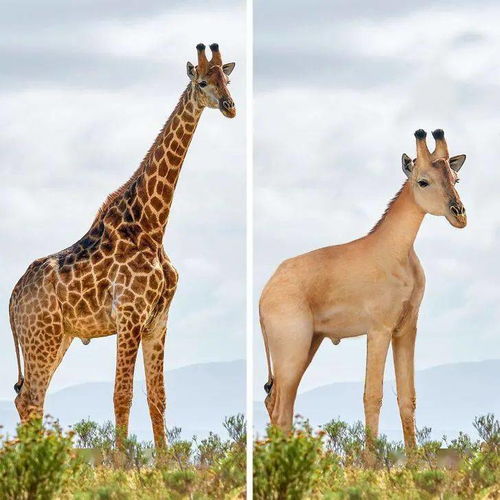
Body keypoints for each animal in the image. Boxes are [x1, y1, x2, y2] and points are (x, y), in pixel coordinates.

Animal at [8, 44, 236, 450]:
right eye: (202, 81)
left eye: (227, 78)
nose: (229, 106)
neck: (153, 227)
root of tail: (12, 299)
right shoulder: (129, 315)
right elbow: (122, 395)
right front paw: (122, 463)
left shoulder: (158, 320)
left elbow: (157, 397)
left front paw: (164, 463)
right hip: (41, 336)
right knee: (31, 397)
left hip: (58, 337)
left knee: (29, 398)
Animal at [260, 129, 466, 450]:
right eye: (423, 180)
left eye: (455, 178)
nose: (459, 214)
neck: (392, 251)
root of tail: (267, 290)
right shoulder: (379, 331)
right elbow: (372, 397)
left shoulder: (405, 330)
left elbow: (407, 398)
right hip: (292, 353)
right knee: (280, 408)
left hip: (309, 346)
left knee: (278, 404)